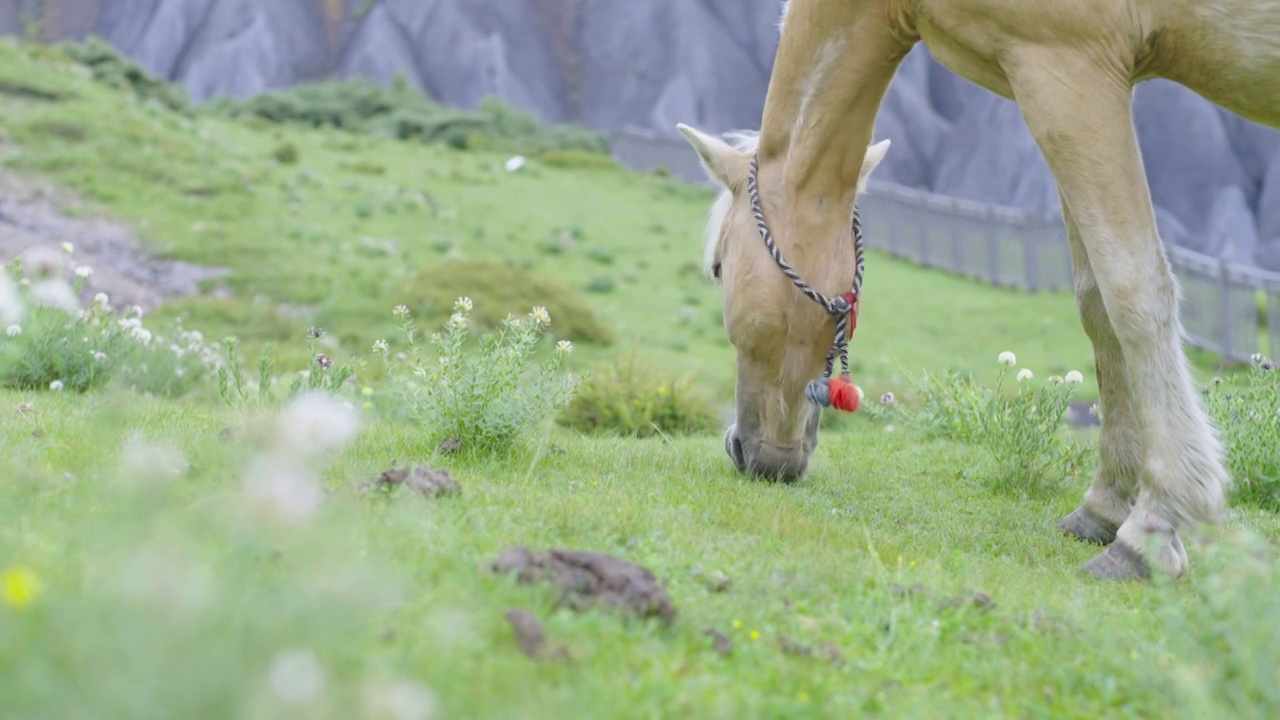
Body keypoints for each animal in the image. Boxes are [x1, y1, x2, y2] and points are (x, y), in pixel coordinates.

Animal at [675, 0, 1274, 579]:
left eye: (719, 268)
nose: (745, 451)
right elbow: (1096, 302)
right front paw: (1106, 505)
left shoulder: (1068, 73)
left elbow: (1131, 288)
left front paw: (1153, 526)